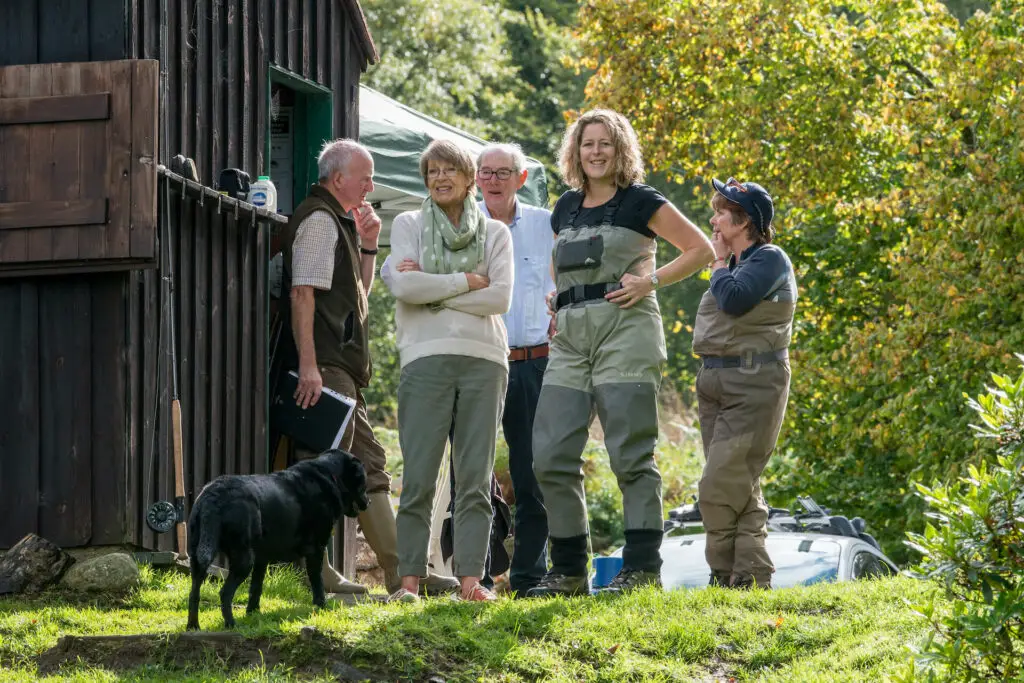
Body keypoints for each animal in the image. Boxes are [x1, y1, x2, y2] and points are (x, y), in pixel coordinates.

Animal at [184, 448, 368, 630]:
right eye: (364, 483)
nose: (370, 501)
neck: (331, 476)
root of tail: (213, 496)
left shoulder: (261, 558)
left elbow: (256, 587)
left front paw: (253, 613)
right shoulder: (316, 549)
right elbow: (317, 580)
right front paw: (321, 606)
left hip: (197, 557)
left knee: (194, 593)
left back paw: (193, 626)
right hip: (243, 558)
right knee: (225, 593)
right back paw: (231, 624)